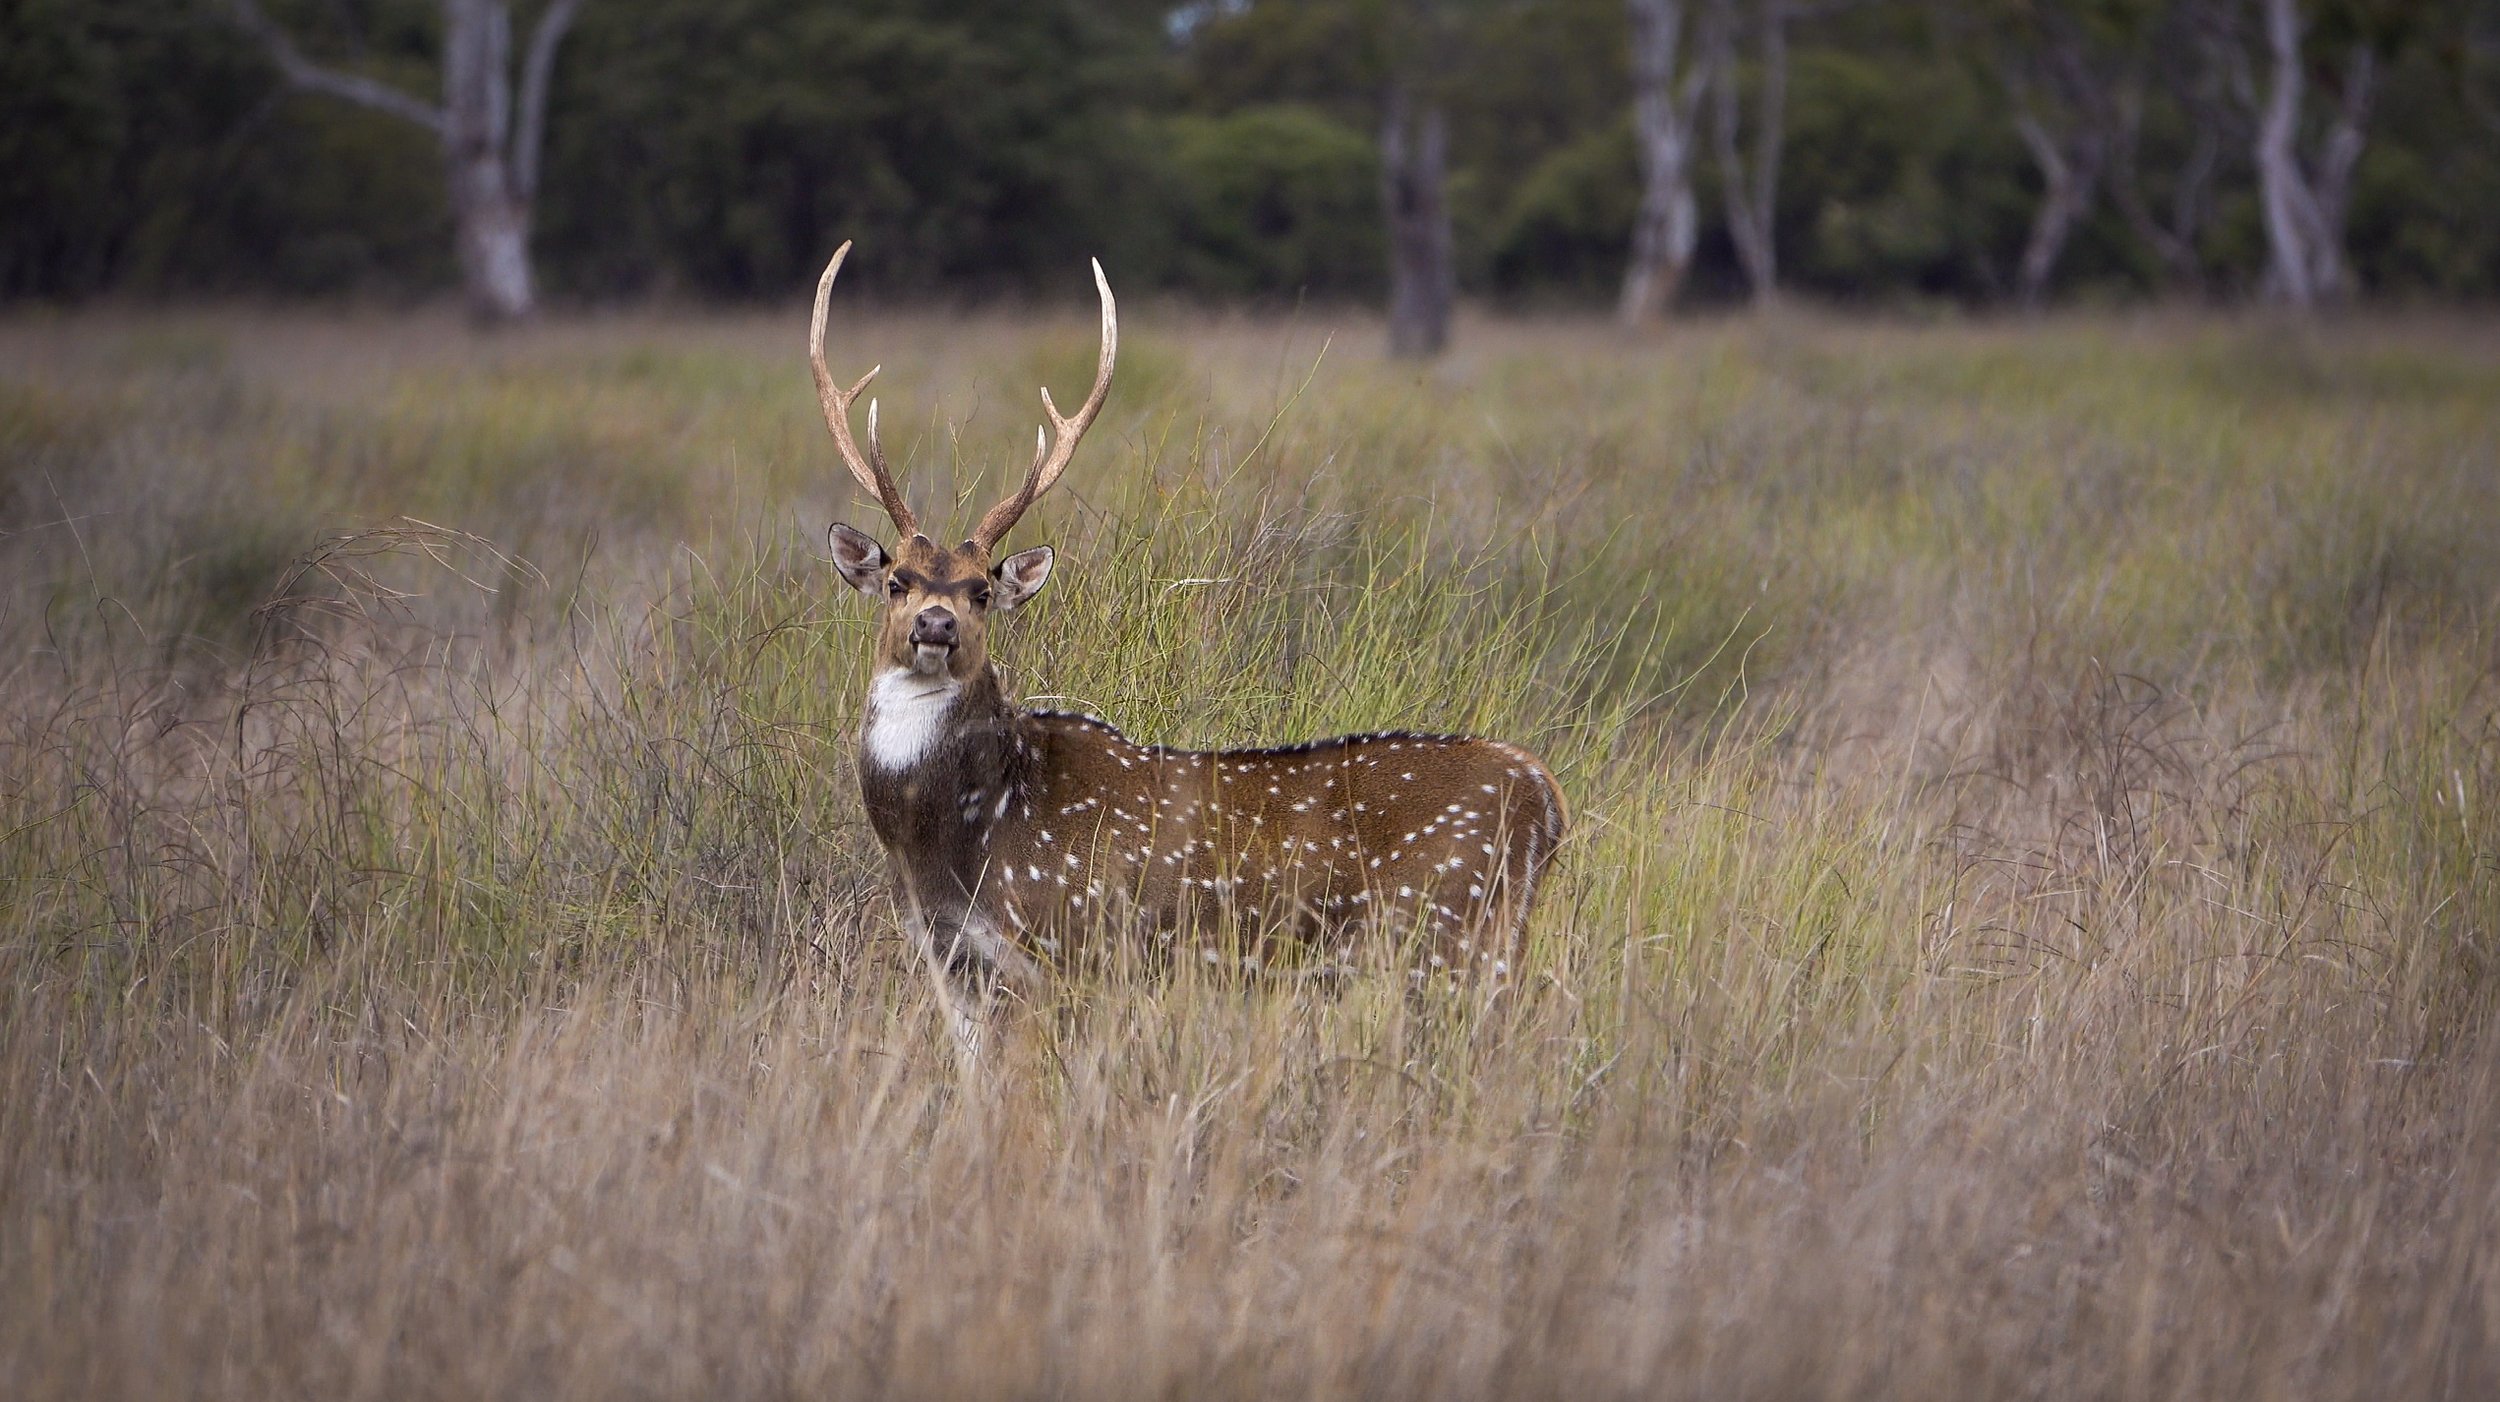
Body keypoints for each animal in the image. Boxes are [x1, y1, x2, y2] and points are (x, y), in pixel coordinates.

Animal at [807, 242, 1565, 1058]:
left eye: (981, 590)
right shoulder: (951, 958)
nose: (936, 624)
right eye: (897, 581)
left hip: (1457, 934)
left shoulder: (1076, 946)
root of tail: (1548, 799)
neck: (954, 842)